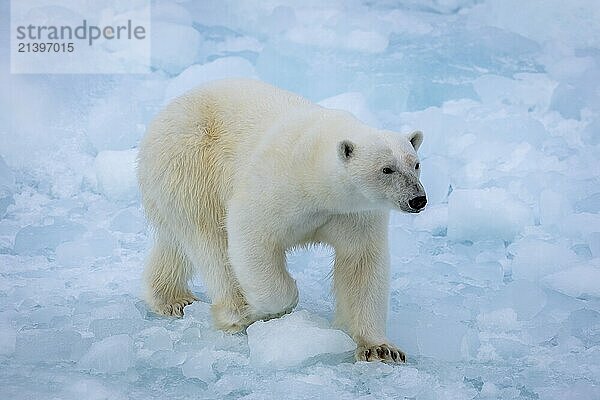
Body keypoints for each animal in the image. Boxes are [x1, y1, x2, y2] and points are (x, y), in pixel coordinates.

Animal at [136, 78, 426, 362]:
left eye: (415, 164)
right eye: (386, 169)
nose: (418, 199)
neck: (314, 172)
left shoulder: (354, 213)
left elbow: (362, 264)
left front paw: (381, 349)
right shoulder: (278, 186)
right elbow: (251, 236)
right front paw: (267, 308)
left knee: (176, 243)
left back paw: (171, 299)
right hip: (190, 162)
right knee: (209, 239)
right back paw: (233, 312)